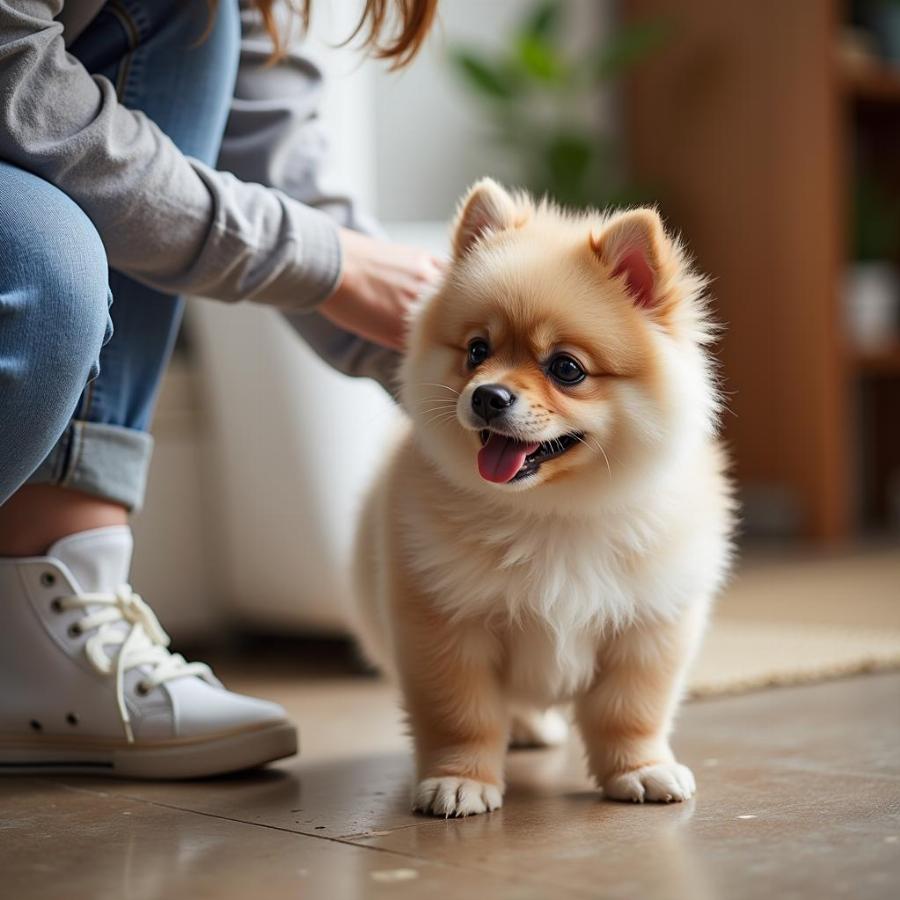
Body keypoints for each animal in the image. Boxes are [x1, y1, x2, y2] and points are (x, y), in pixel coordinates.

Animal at [356, 179, 736, 820]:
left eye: (566, 369)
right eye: (476, 351)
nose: (487, 396)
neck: (553, 512)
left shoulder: (647, 627)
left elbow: (630, 711)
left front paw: (640, 770)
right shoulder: (445, 625)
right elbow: (461, 715)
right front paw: (460, 780)